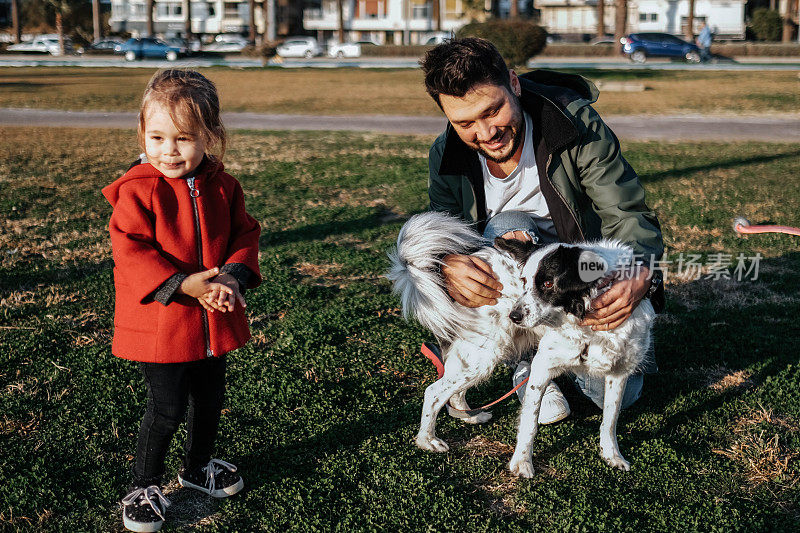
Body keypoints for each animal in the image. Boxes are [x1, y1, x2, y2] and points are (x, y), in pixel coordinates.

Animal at [388, 212, 656, 478]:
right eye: (524, 281)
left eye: (548, 284)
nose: (514, 316)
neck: (583, 319)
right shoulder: (542, 366)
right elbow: (529, 422)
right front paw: (522, 463)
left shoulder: (619, 373)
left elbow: (610, 418)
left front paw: (612, 455)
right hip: (484, 354)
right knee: (433, 391)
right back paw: (427, 440)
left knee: (452, 390)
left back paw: (469, 416)